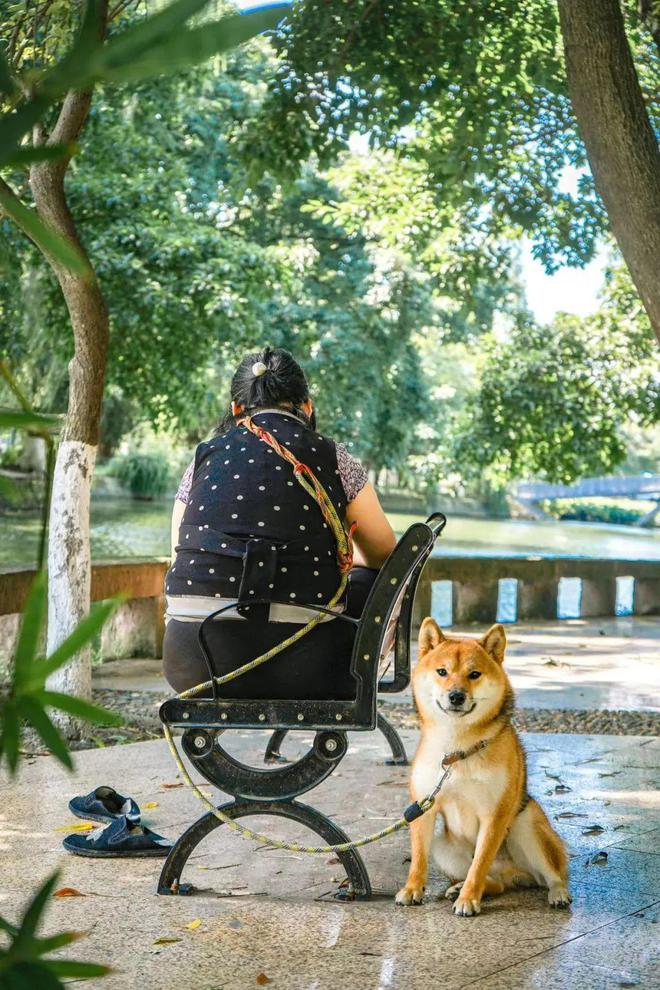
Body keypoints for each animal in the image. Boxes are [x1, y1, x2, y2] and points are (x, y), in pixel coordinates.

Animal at [394, 624, 568, 920]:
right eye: (442, 672)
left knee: (553, 874)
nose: (456, 695)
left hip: (526, 823)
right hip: (443, 847)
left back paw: (557, 893)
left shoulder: (494, 815)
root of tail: (514, 874)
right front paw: (412, 889)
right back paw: (460, 887)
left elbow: (479, 864)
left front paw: (468, 900)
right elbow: (418, 858)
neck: (457, 751)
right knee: (496, 883)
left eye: (474, 674)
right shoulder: (423, 808)